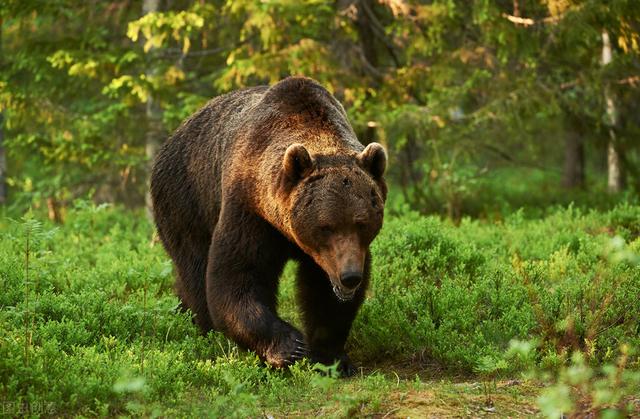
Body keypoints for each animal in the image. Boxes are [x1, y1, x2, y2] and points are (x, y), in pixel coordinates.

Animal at [151, 77, 384, 376]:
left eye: (362, 223)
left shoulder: (330, 256)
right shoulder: (250, 211)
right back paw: (204, 327)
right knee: (194, 268)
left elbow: (323, 295)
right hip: (186, 201)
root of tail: (172, 137)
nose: (350, 276)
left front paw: (333, 358)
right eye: (326, 226)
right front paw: (290, 347)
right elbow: (237, 275)